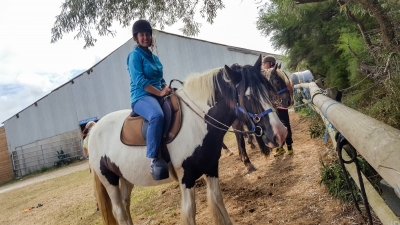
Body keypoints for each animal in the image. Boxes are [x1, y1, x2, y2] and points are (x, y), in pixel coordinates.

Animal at [88, 55, 288, 225]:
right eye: (247, 96)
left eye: (267, 89)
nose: (280, 133)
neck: (197, 121)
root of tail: (93, 129)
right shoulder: (187, 177)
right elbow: (190, 211)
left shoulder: (211, 168)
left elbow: (217, 200)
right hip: (109, 179)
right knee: (119, 211)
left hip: (125, 178)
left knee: (125, 205)